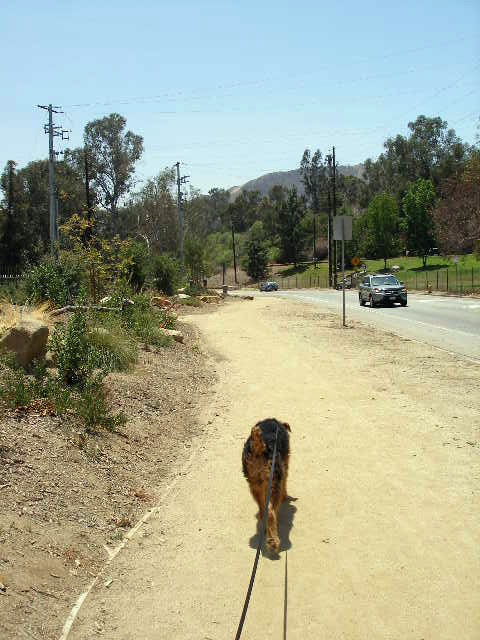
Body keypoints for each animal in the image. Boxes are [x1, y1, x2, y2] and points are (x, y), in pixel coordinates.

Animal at [242, 420, 290, 552]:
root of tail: (259, 447)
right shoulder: (285, 466)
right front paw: (286, 496)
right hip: (274, 481)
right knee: (270, 510)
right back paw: (273, 541)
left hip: (254, 484)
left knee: (262, 507)